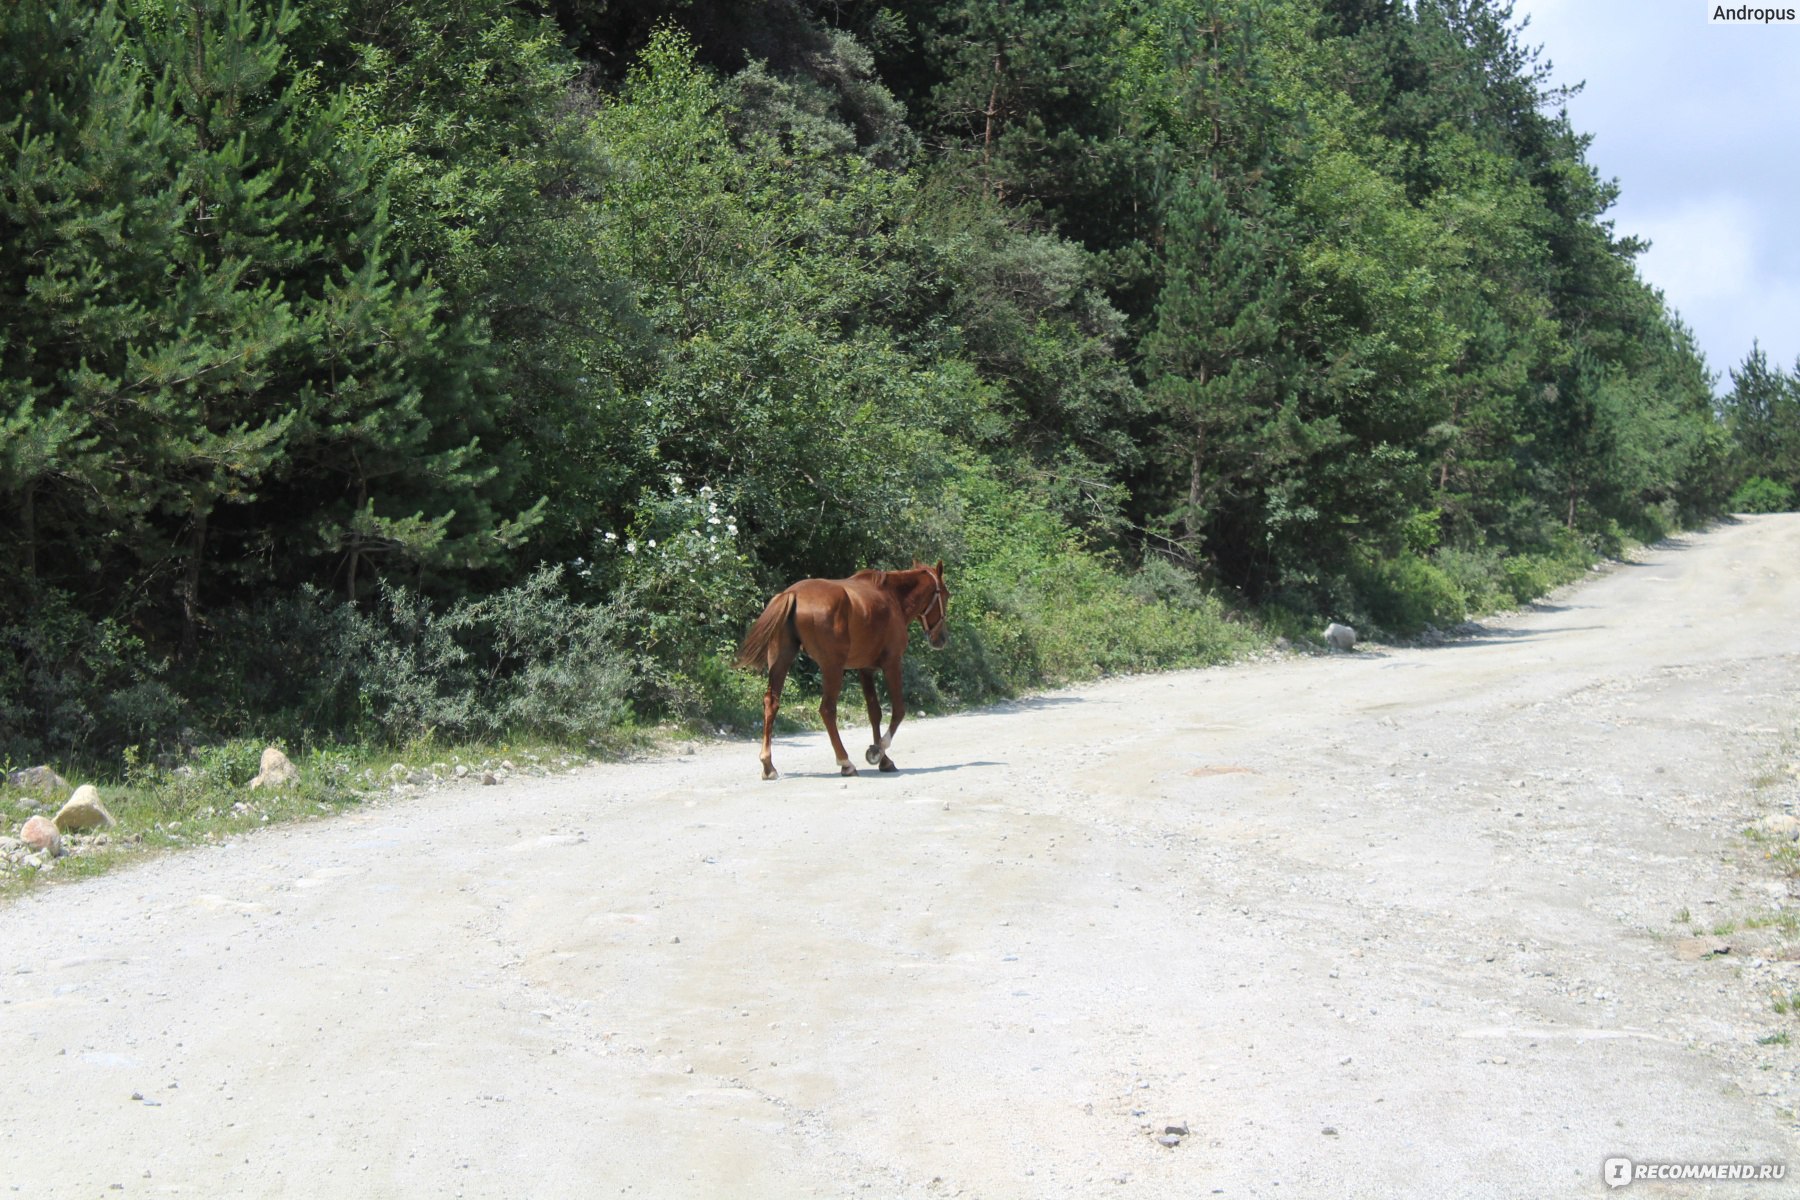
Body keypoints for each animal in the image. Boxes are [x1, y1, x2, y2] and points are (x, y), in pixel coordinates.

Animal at [734, 561, 957, 780]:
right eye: (946, 595)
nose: (942, 638)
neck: (891, 596)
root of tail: (793, 593)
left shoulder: (865, 669)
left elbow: (874, 712)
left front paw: (884, 760)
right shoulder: (892, 663)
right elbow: (898, 710)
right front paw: (878, 750)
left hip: (781, 661)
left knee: (771, 703)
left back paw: (768, 765)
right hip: (832, 667)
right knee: (827, 709)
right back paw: (845, 762)